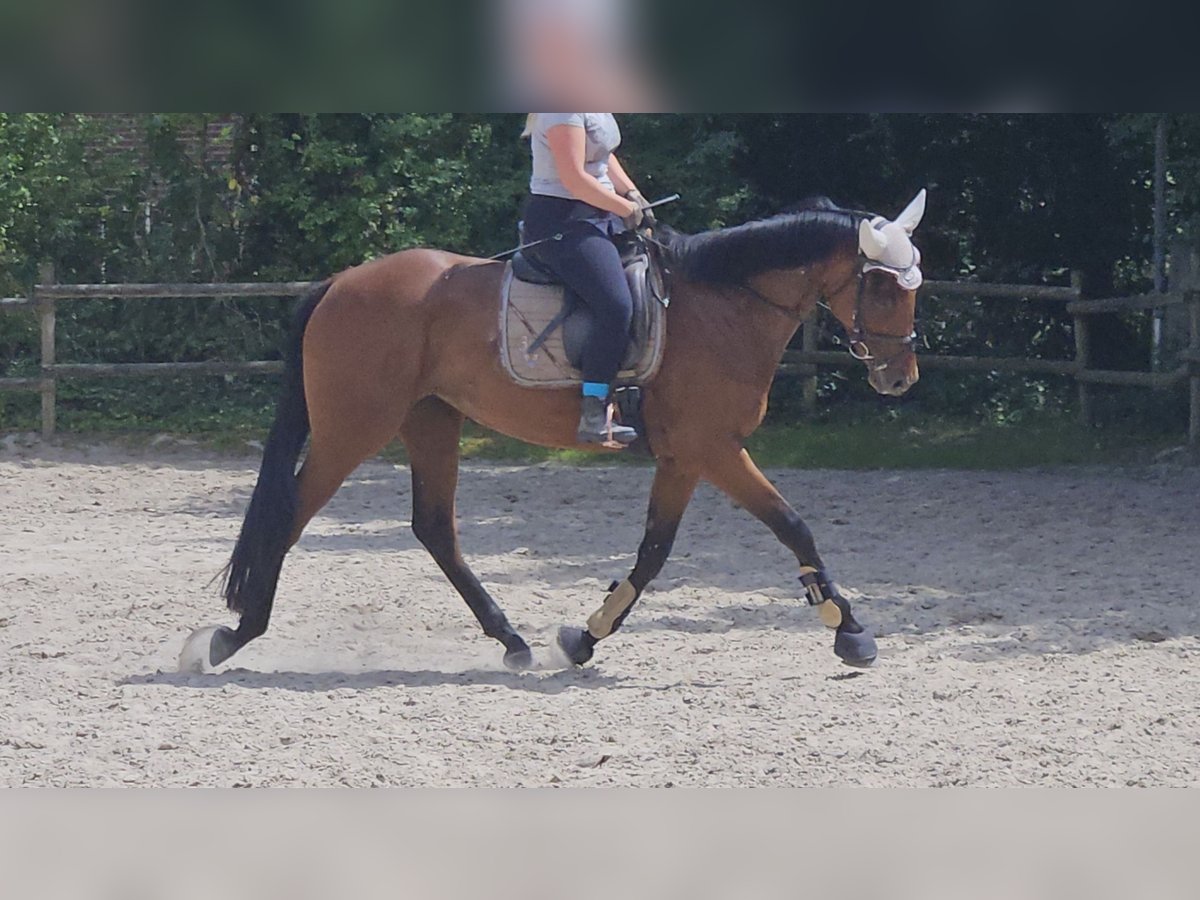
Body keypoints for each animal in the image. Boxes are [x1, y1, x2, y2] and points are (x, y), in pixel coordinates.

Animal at [180, 190, 927, 674]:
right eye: (884, 287)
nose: (901, 378)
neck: (723, 306)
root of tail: (340, 282)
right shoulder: (714, 448)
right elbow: (792, 524)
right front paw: (850, 631)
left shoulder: (684, 457)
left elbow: (653, 552)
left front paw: (585, 638)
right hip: (352, 429)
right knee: (291, 516)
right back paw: (234, 635)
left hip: (430, 419)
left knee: (434, 528)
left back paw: (510, 639)